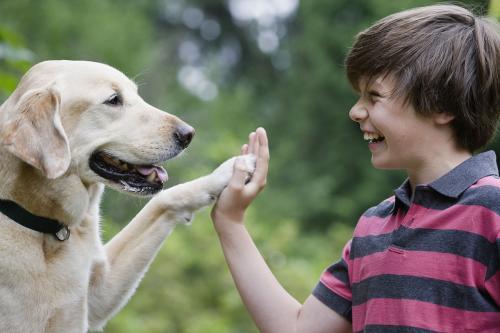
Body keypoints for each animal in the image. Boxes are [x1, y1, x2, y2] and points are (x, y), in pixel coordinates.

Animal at [0, 60, 254, 332]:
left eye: (136, 93)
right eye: (113, 100)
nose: (189, 134)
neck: (46, 227)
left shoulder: (99, 291)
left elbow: (162, 200)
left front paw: (230, 170)